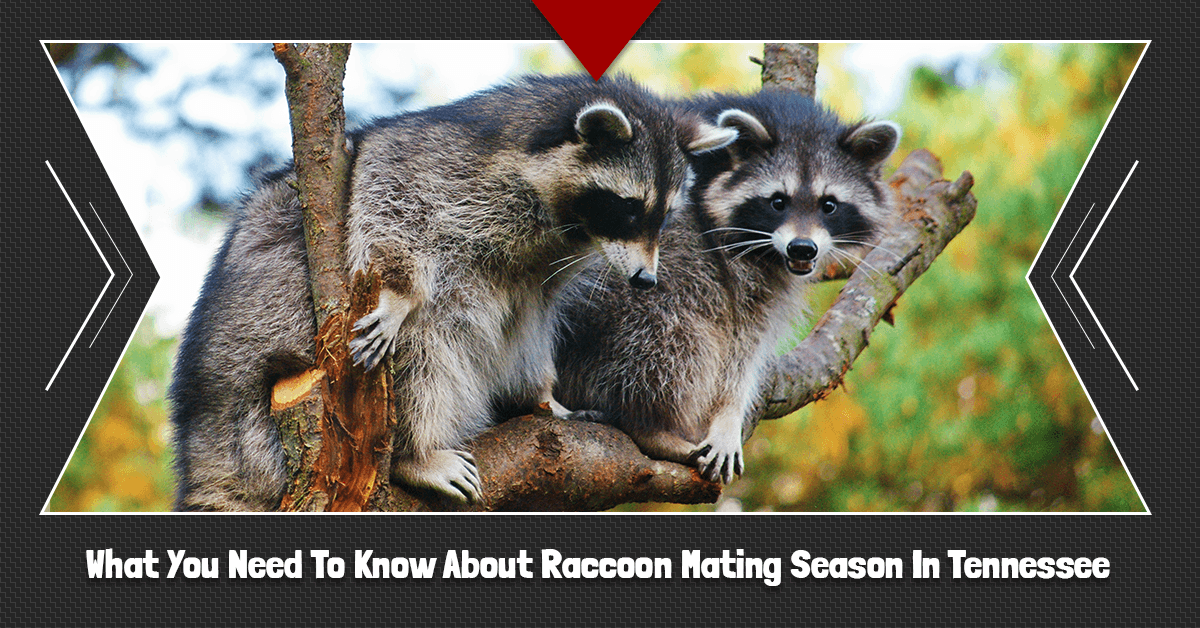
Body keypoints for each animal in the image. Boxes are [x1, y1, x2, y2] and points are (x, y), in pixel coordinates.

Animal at [169, 74, 736, 511]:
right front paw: (398, 293)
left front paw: (544, 397)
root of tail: (206, 441)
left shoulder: (537, 273)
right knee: (423, 347)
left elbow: (531, 324)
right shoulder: (440, 162)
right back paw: (415, 452)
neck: (565, 224)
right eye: (628, 207)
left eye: (663, 215)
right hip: (265, 404)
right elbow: (385, 200)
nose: (645, 280)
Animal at [554, 90, 901, 485]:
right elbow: (736, 336)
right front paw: (725, 414)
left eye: (829, 205)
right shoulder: (727, 260)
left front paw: (727, 416)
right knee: (672, 335)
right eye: (777, 201)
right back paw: (647, 424)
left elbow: (747, 344)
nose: (802, 248)